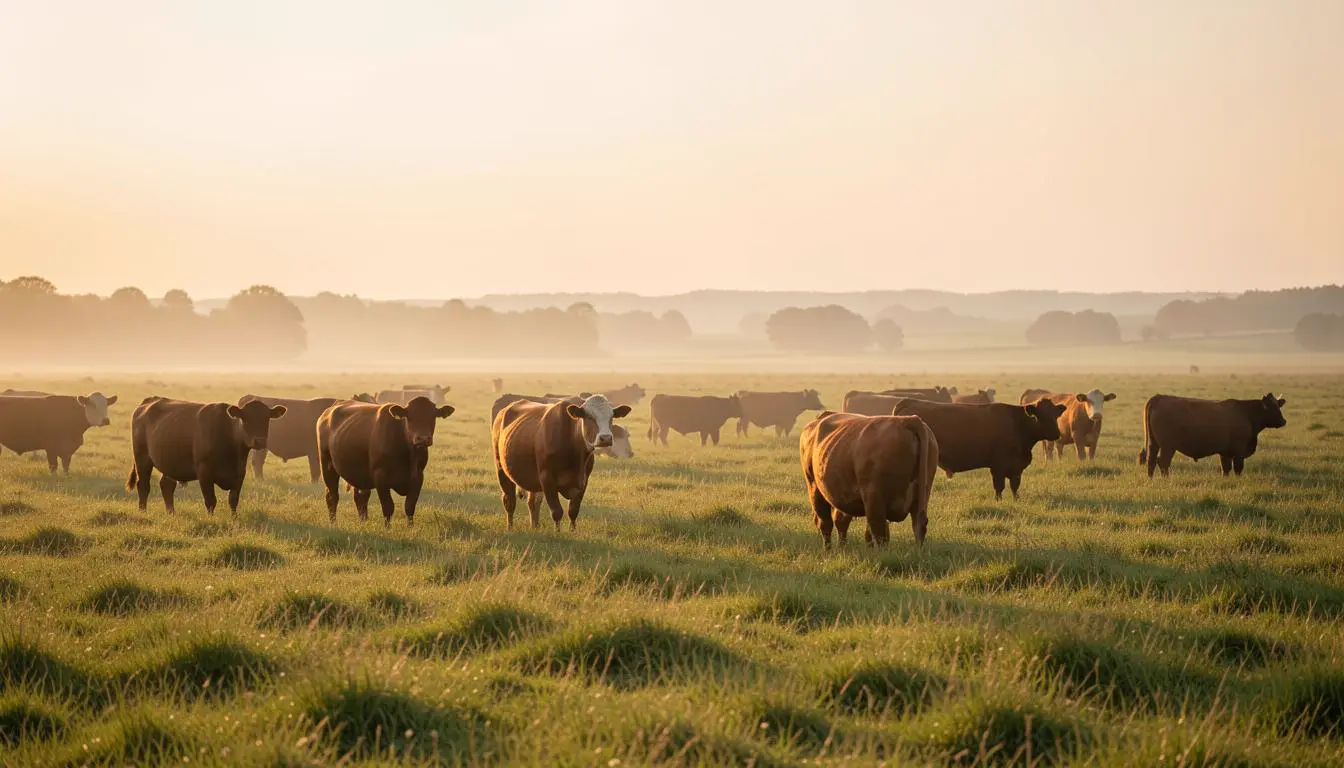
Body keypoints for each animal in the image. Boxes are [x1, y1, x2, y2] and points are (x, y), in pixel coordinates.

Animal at [127, 397, 285, 513]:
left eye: (267, 419)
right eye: (245, 419)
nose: (260, 441)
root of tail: (149, 401)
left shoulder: (240, 473)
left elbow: (233, 500)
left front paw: (233, 519)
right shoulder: (204, 473)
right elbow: (210, 501)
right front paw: (211, 518)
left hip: (169, 462)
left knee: (167, 486)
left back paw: (171, 513)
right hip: (142, 458)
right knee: (143, 485)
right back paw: (143, 512)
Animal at [317, 396, 455, 525]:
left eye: (433, 416)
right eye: (409, 417)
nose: (423, 438)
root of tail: (328, 412)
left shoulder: (418, 476)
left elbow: (410, 506)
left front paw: (410, 527)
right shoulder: (380, 476)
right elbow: (388, 506)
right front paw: (387, 528)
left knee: (360, 497)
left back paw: (363, 522)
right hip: (327, 466)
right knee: (332, 496)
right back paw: (333, 523)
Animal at [891, 398, 1067, 500]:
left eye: (1055, 414)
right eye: (1039, 415)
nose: (1055, 433)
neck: (1017, 425)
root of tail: (908, 402)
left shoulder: (1016, 468)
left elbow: (1014, 487)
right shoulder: (998, 466)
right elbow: (999, 487)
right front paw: (999, 502)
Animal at [1138, 393, 1286, 478]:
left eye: (1278, 406)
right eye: (1271, 407)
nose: (1283, 421)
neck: (1245, 413)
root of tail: (1159, 397)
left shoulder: (1226, 452)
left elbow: (1226, 469)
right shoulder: (1239, 451)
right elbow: (1238, 468)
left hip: (1154, 443)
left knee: (1151, 461)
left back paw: (1151, 479)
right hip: (1168, 446)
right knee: (1162, 461)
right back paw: (1166, 480)